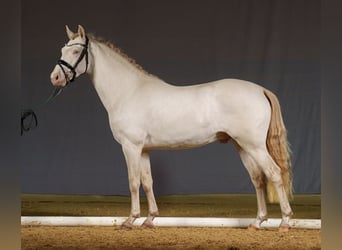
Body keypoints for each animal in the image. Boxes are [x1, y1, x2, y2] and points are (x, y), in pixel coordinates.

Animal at [50, 25, 294, 232]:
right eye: (63, 49)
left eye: (75, 51)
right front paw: (149, 219)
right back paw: (257, 222)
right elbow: (148, 182)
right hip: (241, 145)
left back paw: (284, 222)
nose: (55, 77)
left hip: (254, 146)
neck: (129, 91)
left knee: (274, 173)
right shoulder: (144, 149)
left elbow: (133, 181)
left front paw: (130, 220)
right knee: (258, 178)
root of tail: (260, 89)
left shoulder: (131, 147)